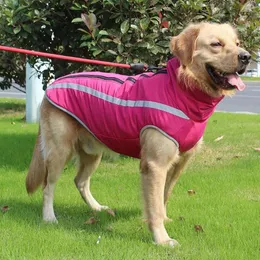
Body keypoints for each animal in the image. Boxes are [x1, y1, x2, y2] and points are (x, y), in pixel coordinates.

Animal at [25, 21, 250, 246]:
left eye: (237, 43)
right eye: (216, 44)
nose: (246, 56)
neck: (181, 89)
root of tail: (53, 85)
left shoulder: (178, 163)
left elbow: (164, 196)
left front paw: (164, 220)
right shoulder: (155, 164)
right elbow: (155, 204)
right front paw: (162, 239)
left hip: (92, 153)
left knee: (80, 181)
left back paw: (97, 208)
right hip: (59, 151)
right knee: (48, 186)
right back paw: (49, 217)